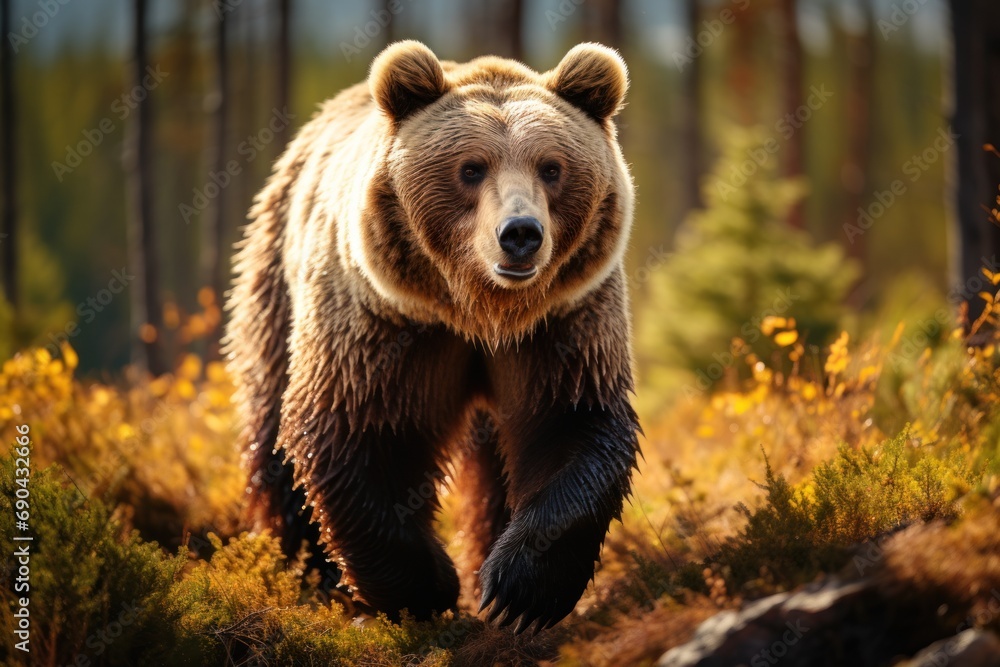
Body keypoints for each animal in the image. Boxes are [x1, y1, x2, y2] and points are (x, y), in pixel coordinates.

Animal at [224, 40, 640, 634]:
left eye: (551, 167)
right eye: (470, 168)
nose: (521, 234)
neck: (480, 312)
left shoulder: (563, 323)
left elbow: (572, 424)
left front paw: (517, 590)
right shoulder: (385, 327)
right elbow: (355, 429)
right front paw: (424, 589)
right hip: (275, 275)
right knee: (269, 424)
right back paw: (303, 569)